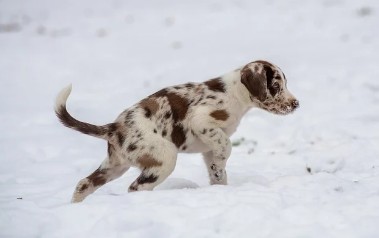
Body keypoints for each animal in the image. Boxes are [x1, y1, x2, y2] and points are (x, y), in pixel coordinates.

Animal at [55, 60, 300, 203]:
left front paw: (220, 185)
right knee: (136, 187)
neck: (234, 93)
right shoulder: (201, 121)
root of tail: (114, 127)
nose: (296, 104)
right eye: (276, 86)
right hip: (165, 158)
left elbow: (217, 169)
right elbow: (226, 146)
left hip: (115, 166)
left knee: (84, 183)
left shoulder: (208, 148)